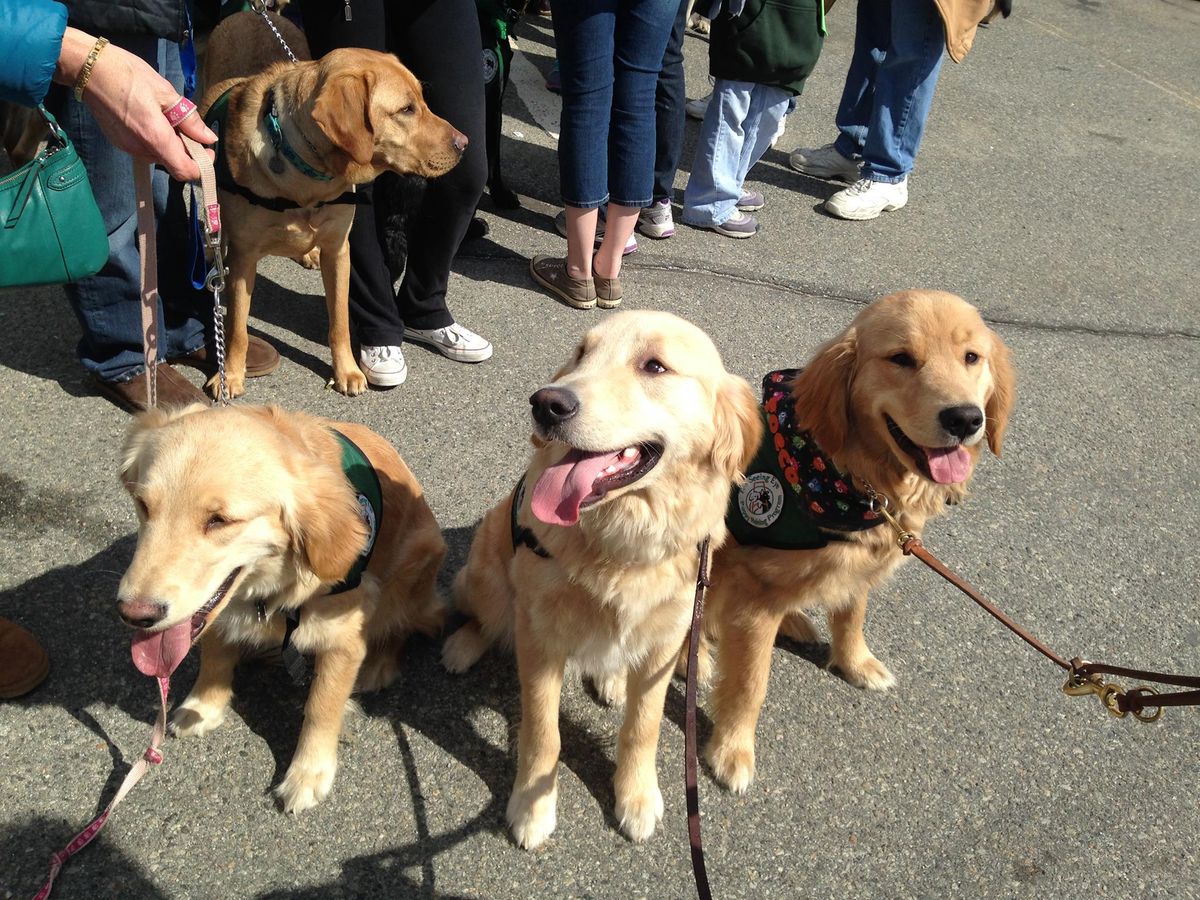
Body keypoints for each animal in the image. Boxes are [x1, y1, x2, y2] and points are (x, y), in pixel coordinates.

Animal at [115, 405, 446, 816]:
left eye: (219, 520)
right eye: (144, 506)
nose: (134, 614)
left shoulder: (343, 640)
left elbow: (321, 706)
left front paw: (308, 773)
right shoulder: (218, 611)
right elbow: (214, 659)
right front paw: (203, 707)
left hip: (412, 568)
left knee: (399, 625)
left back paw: (378, 665)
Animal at [199, 12, 465, 396]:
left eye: (422, 101)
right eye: (406, 109)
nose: (465, 143)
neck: (308, 179)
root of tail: (253, 10)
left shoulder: (339, 249)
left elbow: (339, 320)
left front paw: (347, 371)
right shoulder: (243, 258)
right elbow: (236, 329)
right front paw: (230, 375)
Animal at [441, 312, 758, 854]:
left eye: (655, 366)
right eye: (581, 353)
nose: (546, 403)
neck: (622, 543)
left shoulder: (665, 642)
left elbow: (642, 728)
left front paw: (636, 796)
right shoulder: (539, 635)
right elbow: (544, 732)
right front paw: (531, 806)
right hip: (486, 574)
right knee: (486, 615)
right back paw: (463, 646)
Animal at [700, 292, 1017, 792]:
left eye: (972, 357)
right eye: (901, 359)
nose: (966, 418)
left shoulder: (859, 565)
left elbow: (851, 617)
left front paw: (855, 663)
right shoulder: (753, 595)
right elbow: (751, 683)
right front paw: (732, 750)